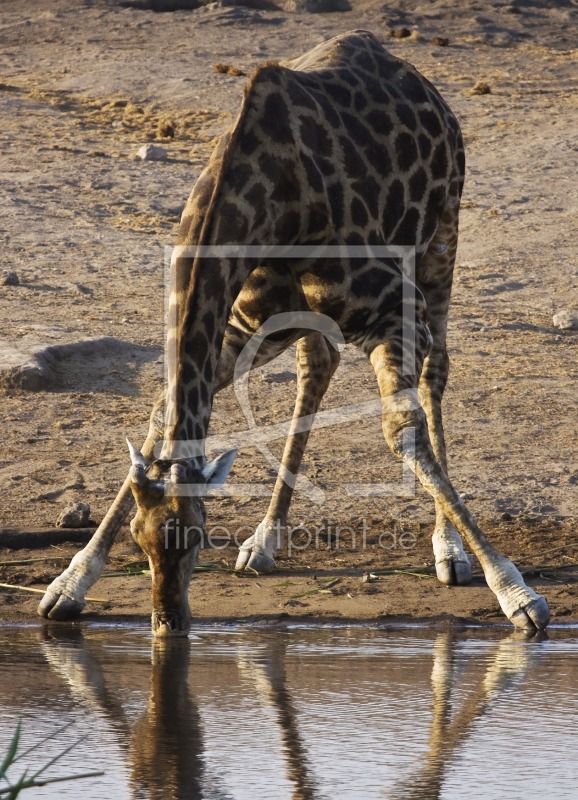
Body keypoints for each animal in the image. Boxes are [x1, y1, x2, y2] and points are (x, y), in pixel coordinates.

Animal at [38, 31, 548, 636]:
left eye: (197, 537)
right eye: (141, 542)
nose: (169, 622)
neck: (264, 198)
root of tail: (420, 80)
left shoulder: (393, 311)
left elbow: (403, 430)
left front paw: (518, 594)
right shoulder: (240, 321)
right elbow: (163, 412)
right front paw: (69, 583)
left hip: (440, 239)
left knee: (434, 374)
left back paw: (450, 550)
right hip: (296, 318)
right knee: (317, 368)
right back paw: (264, 540)